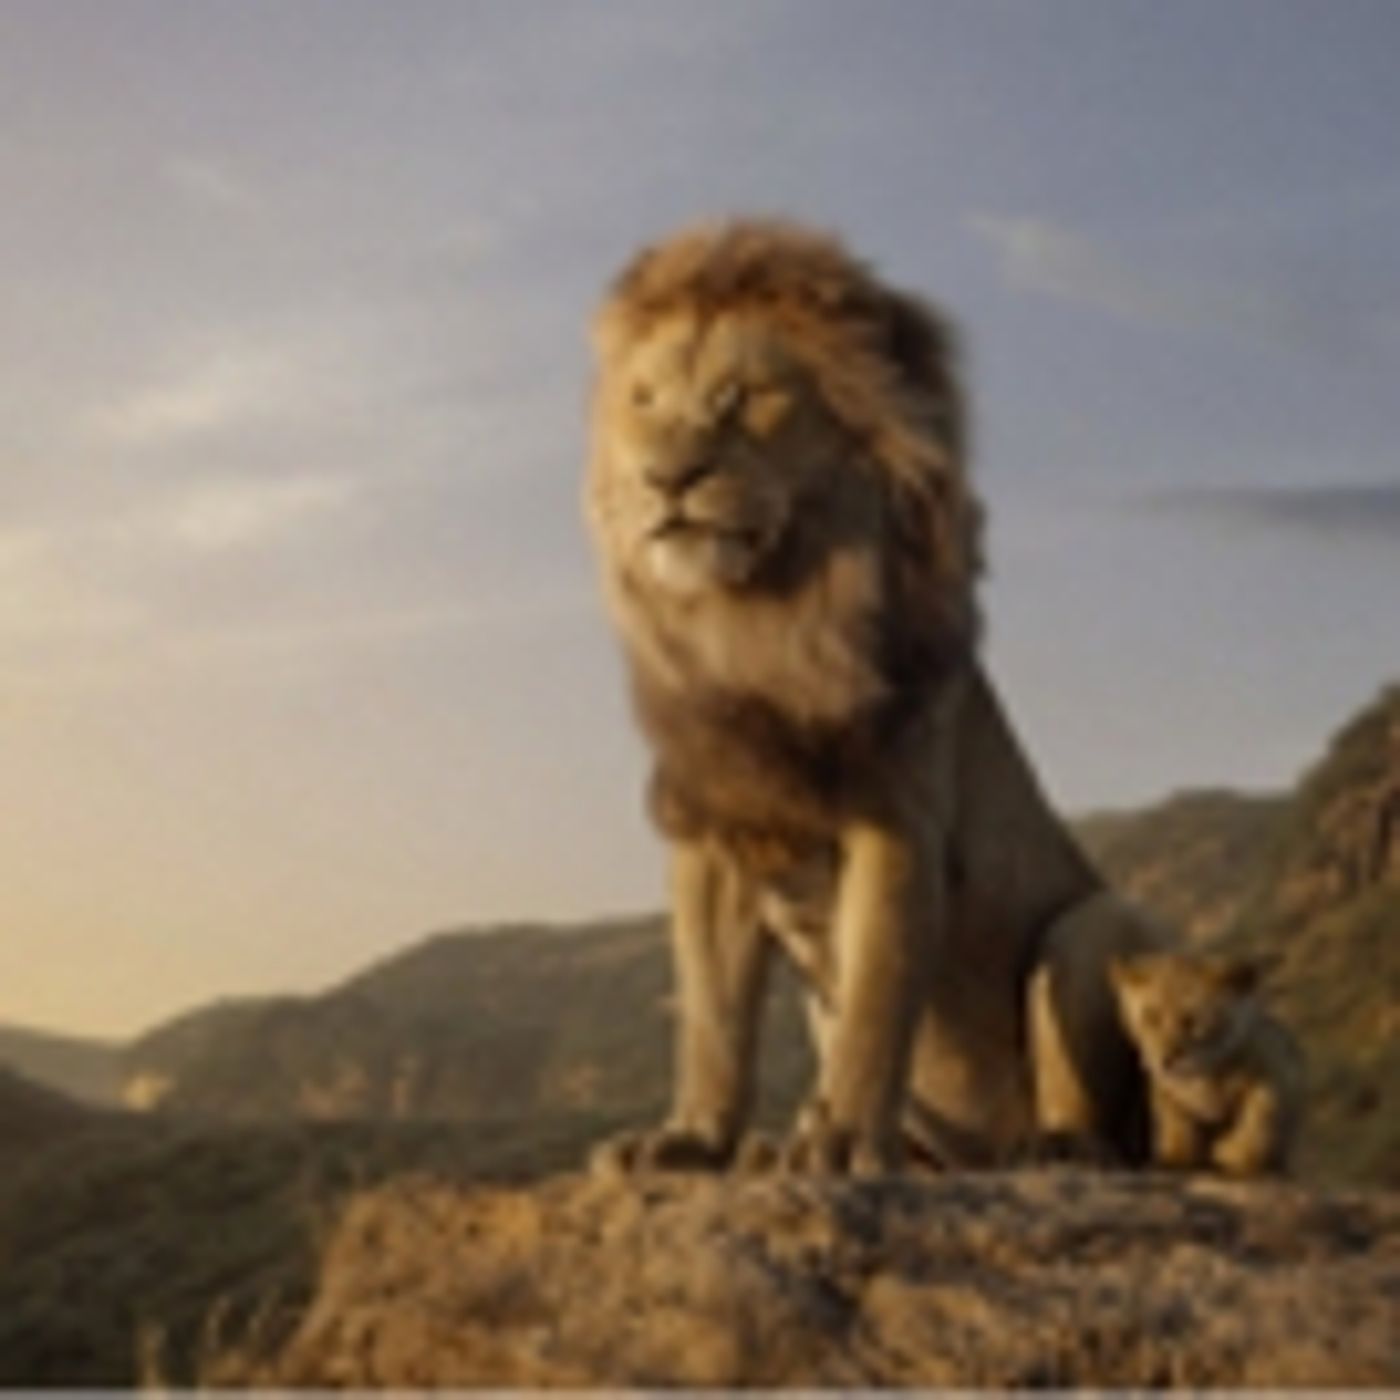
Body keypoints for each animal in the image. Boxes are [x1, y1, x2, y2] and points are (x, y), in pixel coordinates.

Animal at [584, 218, 1168, 1172]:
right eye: (644, 402)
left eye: (745, 397)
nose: (665, 478)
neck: (759, 623)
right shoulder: (715, 837)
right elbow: (712, 1019)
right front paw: (693, 1137)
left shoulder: (896, 824)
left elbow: (875, 999)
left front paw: (841, 1141)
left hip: (1097, 924)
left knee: (1099, 1114)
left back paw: (1052, 1149)